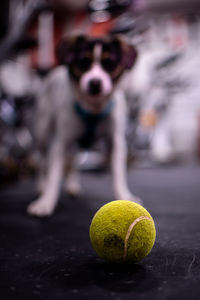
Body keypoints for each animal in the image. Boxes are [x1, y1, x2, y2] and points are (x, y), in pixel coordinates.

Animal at [27, 34, 141, 216]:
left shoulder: (116, 142)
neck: (93, 108)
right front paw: (45, 202)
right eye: (83, 61)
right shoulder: (60, 142)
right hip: (42, 132)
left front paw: (124, 195)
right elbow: (53, 174)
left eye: (109, 63)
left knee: (73, 159)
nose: (95, 82)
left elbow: (118, 174)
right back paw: (41, 186)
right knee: (41, 161)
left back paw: (72, 185)